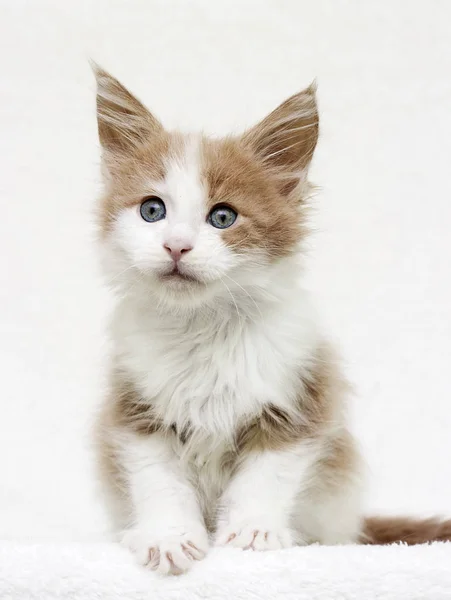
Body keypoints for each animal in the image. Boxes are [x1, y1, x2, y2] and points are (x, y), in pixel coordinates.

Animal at [92, 67, 451, 576]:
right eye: (152, 210)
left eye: (223, 217)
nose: (176, 246)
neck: (203, 328)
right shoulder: (136, 408)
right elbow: (159, 481)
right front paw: (169, 538)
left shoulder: (298, 398)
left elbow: (266, 477)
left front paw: (251, 534)